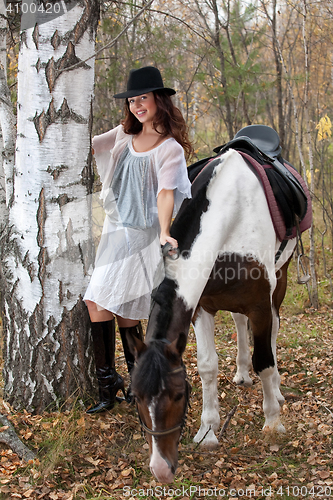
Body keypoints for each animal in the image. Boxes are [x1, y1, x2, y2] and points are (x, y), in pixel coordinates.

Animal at [127, 146, 304, 482]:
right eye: (137, 397)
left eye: (179, 395)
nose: (161, 469)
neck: (230, 210)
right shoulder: (202, 306)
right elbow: (208, 366)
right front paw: (208, 430)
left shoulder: (260, 303)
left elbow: (265, 360)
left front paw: (273, 422)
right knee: (239, 321)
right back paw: (242, 373)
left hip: (281, 278)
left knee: (274, 331)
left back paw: (275, 391)